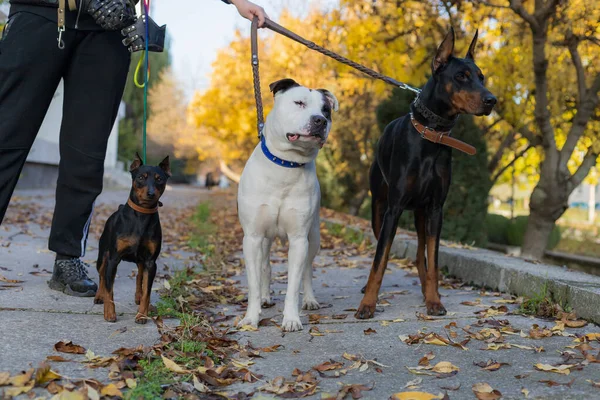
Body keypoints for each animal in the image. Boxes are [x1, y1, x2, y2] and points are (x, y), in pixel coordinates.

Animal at [94, 152, 172, 324]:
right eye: (141, 177)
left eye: (159, 179)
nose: (151, 193)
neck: (142, 215)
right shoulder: (114, 259)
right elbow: (109, 289)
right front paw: (109, 314)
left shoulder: (151, 262)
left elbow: (147, 291)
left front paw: (142, 315)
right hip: (103, 255)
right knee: (102, 275)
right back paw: (99, 296)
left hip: (141, 260)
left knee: (139, 276)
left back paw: (138, 297)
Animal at [236, 78, 338, 332]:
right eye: (299, 102)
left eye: (326, 110)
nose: (320, 120)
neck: (287, 165)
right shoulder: (252, 237)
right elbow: (253, 282)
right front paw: (251, 317)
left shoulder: (299, 239)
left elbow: (294, 284)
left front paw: (291, 318)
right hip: (264, 240)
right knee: (265, 266)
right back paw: (265, 297)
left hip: (314, 237)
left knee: (307, 270)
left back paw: (309, 300)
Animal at [356, 27, 496, 318]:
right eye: (461, 76)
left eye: (481, 77)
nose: (492, 100)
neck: (432, 135)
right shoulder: (394, 209)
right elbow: (380, 260)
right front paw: (368, 304)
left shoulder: (435, 210)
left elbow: (433, 261)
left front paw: (434, 300)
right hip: (379, 210)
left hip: (421, 214)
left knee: (421, 254)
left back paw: (428, 292)